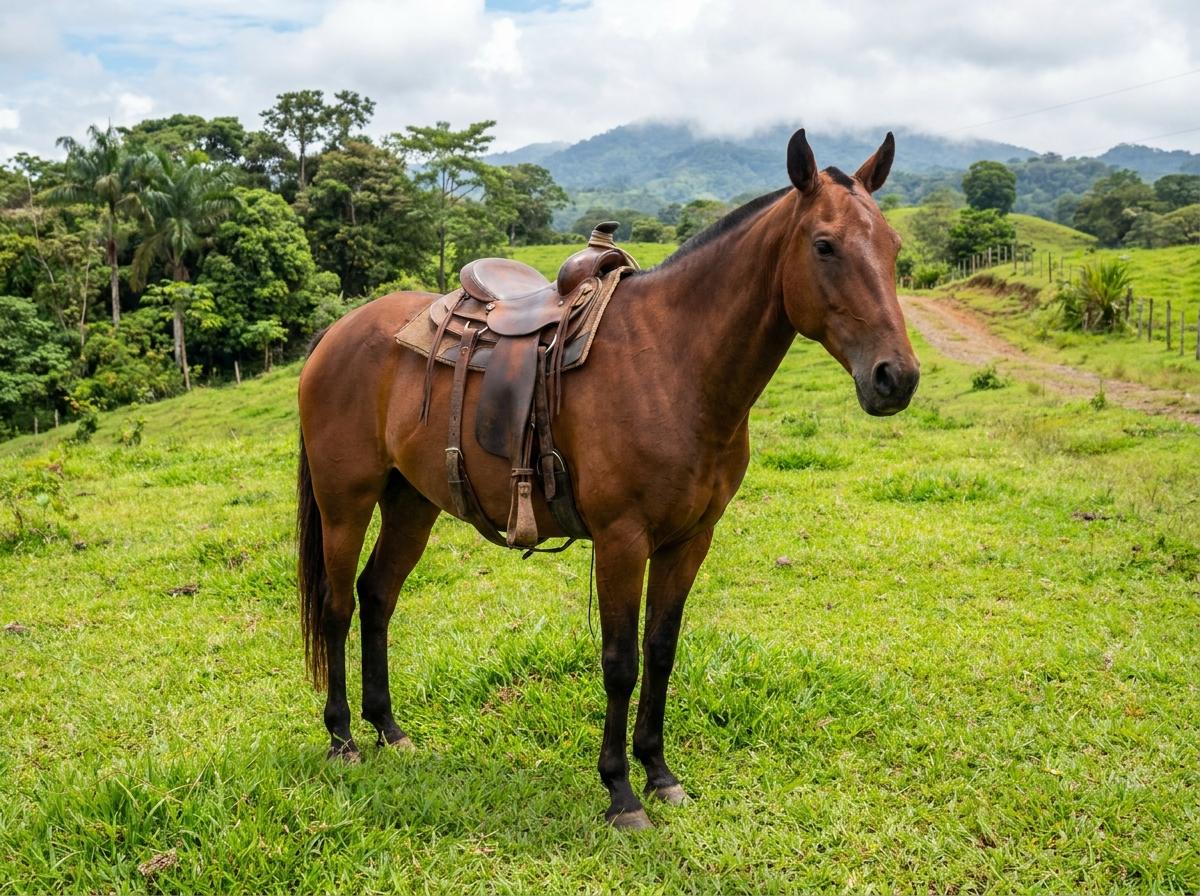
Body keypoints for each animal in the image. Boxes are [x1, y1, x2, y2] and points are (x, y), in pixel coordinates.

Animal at [296, 129, 919, 829]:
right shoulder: (623, 541)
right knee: (339, 605)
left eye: (894, 248)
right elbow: (621, 662)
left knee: (378, 596)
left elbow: (662, 651)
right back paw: (343, 737)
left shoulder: (689, 541)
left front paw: (660, 773)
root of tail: (337, 330)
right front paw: (621, 792)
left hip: (412, 503)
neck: (676, 364)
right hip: (345, 503)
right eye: (824, 246)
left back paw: (389, 729)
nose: (896, 377)